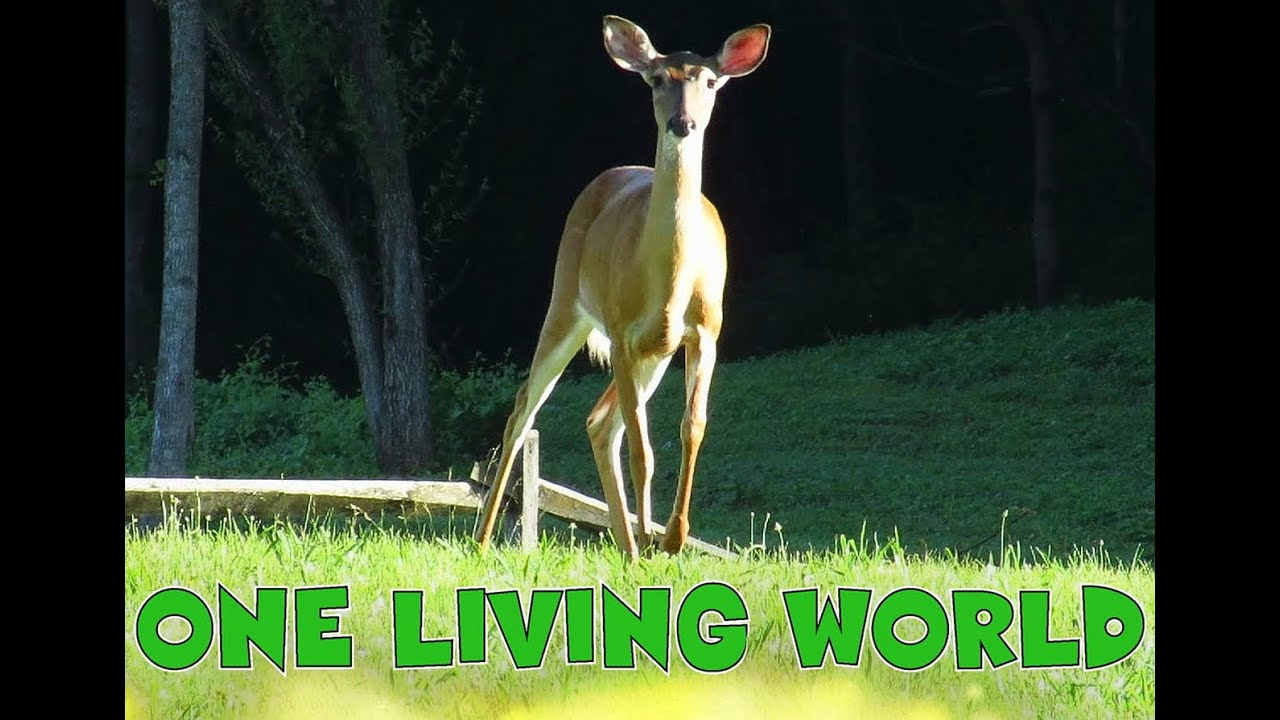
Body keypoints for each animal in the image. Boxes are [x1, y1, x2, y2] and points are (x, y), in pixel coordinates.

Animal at [474, 15, 771, 560]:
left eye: (710, 81)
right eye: (656, 79)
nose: (682, 123)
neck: (670, 282)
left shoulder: (706, 332)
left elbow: (691, 428)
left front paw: (670, 539)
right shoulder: (622, 332)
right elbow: (643, 448)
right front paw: (652, 542)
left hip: (652, 352)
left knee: (598, 422)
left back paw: (629, 538)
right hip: (567, 301)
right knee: (526, 406)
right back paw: (486, 539)